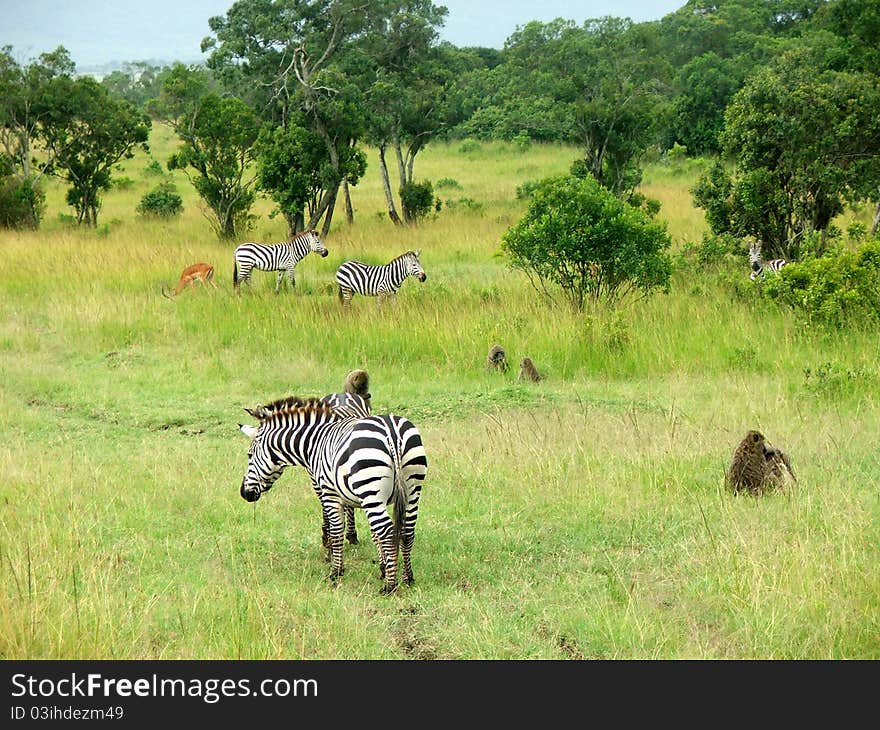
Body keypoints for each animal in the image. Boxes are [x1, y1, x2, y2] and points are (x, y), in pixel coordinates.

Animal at [235, 392, 424, 592]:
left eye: (249, 455)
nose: (244, 493)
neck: (315, 441)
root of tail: (392, 433)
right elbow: (373, 533)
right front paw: (382, 568)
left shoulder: (328, 492)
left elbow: (336, 529)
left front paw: (336, 571)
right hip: (412, 489)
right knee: (407, 531)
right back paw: (408, 578)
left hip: (372, 490)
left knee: (387, 532)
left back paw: (390, 586)